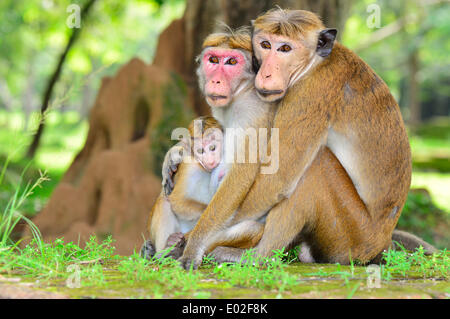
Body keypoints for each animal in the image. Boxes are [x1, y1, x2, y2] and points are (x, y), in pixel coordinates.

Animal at [142, 7, 436, 268]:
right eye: (213, 60)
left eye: (231, 62)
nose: (216, 80)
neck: (314, 65)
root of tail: (381, 242)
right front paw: (177, 154)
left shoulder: (303, 96)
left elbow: (265, 179)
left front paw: (191, 243)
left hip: (353, 237)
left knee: (312, 168)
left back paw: (255, 257)